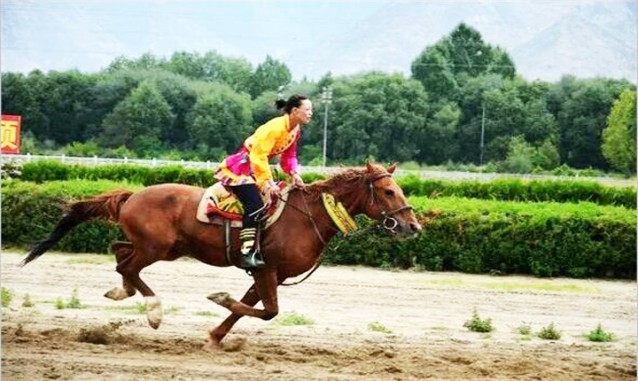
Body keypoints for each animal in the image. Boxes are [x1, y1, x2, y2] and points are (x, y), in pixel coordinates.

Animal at [21, 162, 420, 346]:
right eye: (388, 191)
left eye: (399, 189)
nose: (413, 226)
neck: (306, 217)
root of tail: (132, 195)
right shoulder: (266, 268)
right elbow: (268, 311)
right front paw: (219, 298)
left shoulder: (269, 273)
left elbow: (253, 307)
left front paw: (215, 333)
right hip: (156, 247)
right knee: (130, 266)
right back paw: (153, 311)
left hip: (162, 247)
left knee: (120, 256)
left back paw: (122, 292)